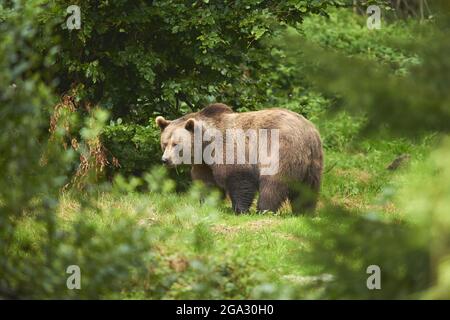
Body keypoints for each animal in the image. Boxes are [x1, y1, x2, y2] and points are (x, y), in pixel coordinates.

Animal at [156, 104, 324, 214]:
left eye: (176, 144)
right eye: (164, 143)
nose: (165, 160)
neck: (204, 145)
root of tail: (308, 132)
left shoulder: (230, 149)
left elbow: (239, 179)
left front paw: (240, 210)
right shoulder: (204, 164)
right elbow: (207, 184)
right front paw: (206, 204)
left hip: (280, 150)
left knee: (272, 183)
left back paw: (264, 210)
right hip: (313, 162)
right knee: (308, 189)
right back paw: (304, 212)